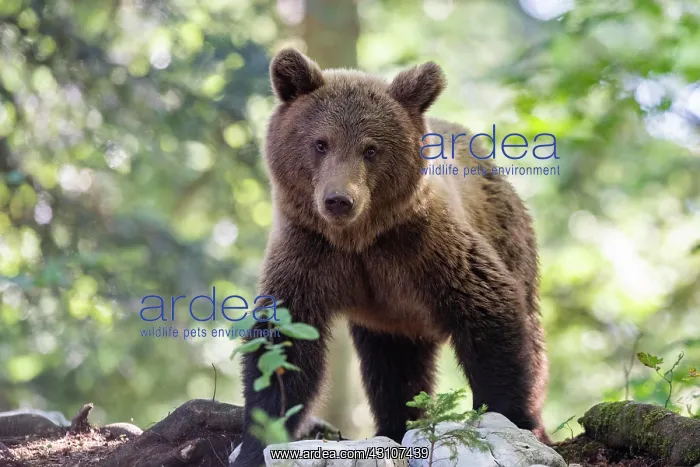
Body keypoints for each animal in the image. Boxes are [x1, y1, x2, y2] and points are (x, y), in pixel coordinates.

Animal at [233, 48, 550, 467]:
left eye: (371, 149)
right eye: (321, 143)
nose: (339, 199)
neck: (359, 239)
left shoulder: (421, 246)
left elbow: (489, 310)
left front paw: (511, 417)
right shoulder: (310, 252)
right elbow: (283, 344)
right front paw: (258, 440)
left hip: (507, 239)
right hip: (390, 318)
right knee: (394, 370)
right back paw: (396, 426)